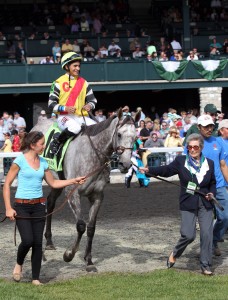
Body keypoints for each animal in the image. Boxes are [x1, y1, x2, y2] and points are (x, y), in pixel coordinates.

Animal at [32, 110, 136, 272]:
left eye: (135, 137)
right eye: (119, 134)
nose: (125, 164)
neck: (92, 154)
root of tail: (39, 123)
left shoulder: (97, 196)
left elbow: (91, 228)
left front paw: (89, 261)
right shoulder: (73, 193)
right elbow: (81, 226)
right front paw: (68, 255)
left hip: (57, 183)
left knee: (50, 202)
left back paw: (49, 242)